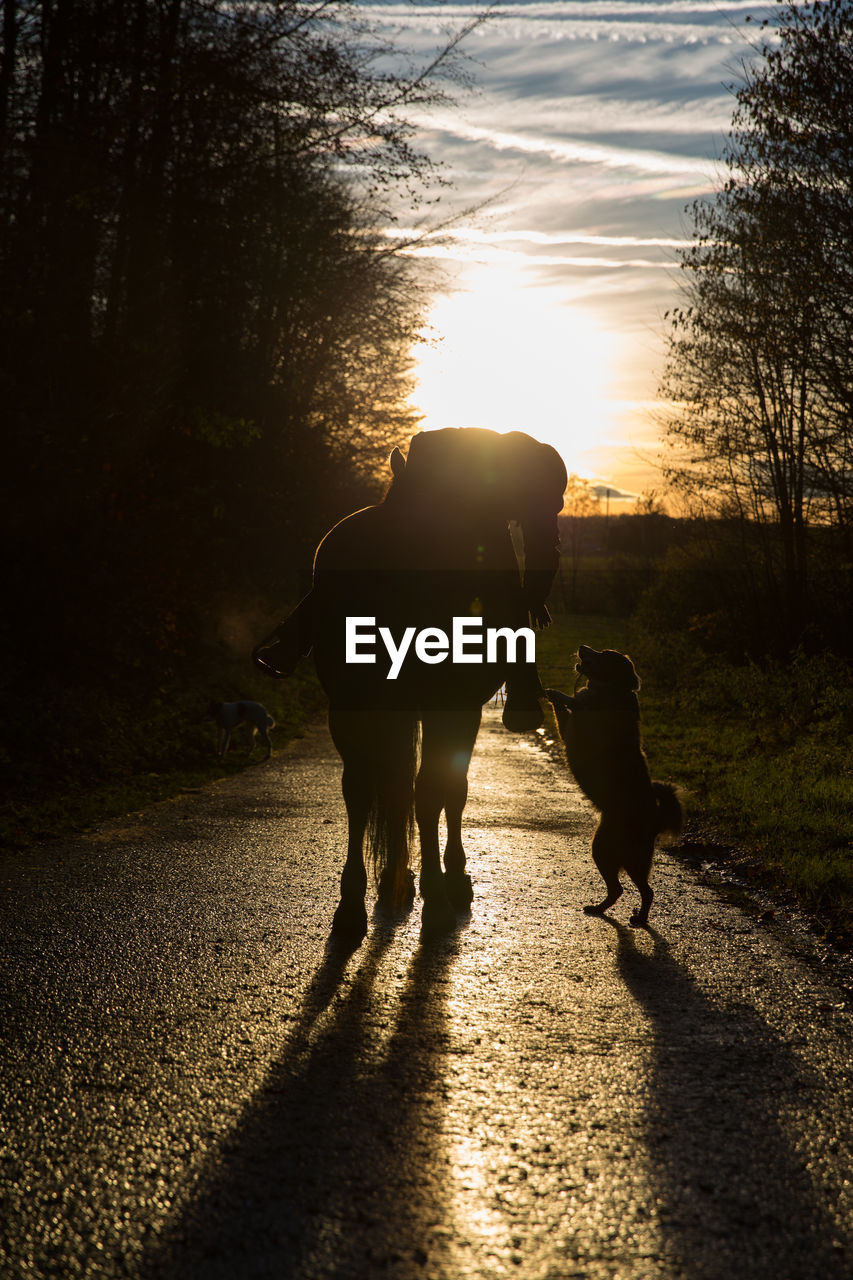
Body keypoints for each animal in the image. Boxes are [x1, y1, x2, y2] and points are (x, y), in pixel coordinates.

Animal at [252, 430, 563, 942]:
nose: (547, 562)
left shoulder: (446, 709)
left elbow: (440, 789)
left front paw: (442, 881)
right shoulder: (433, 707)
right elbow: (429, 791)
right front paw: (437, 891)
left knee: (392, 788)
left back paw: (386, 888)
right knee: (386, 789)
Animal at [548, 645, 681, 926]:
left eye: (605, 654)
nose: (582, 647)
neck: (612, 689)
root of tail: (655, 821)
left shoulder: (582, 718)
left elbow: (573, 701)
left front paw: (555, 692)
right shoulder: (568, 727)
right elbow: (564, 710)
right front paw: (555, 697)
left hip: (612, 852)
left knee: (638, 890)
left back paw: (636, 918)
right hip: (617, 853)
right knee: (624, 890)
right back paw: (606, 910)